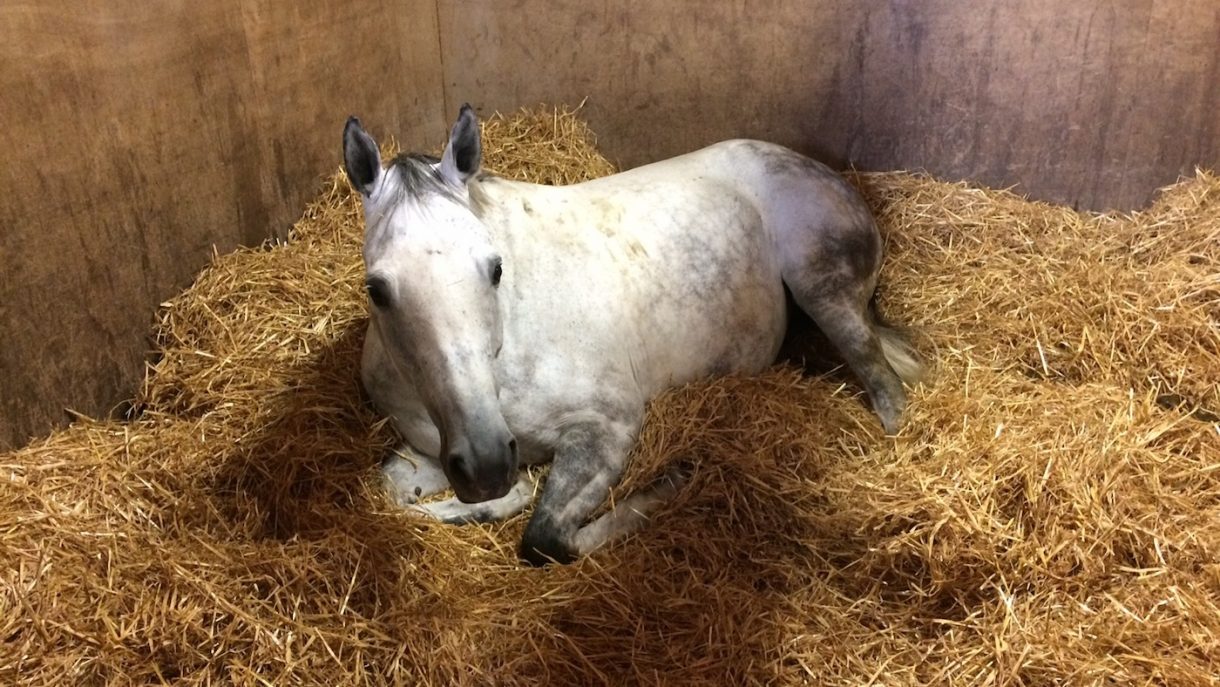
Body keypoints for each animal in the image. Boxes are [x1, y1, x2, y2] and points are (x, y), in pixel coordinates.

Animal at [343, 105, 922, 565]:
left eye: (495, 267)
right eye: (377, 289)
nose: (487, 463)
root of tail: (829, 175)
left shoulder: (609, 425)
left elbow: (547, 539)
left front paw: (670, 485)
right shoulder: (430, 450)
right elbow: (392, 496)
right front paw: (501, 495)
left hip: (825, 290)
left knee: (889, 391)